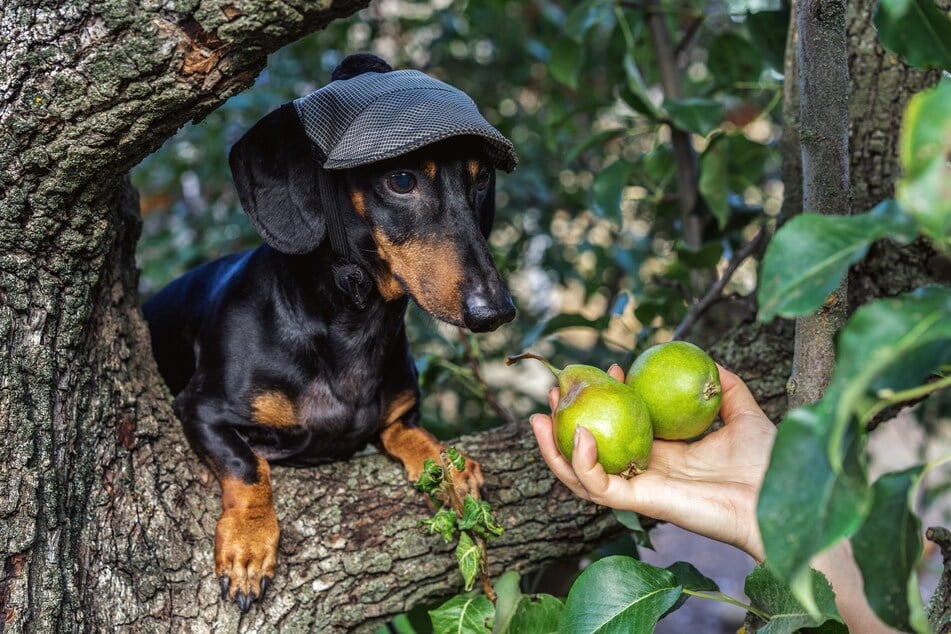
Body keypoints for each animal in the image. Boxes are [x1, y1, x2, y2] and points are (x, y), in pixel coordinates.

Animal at [144, 53, 516, 608]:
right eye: (401, 180)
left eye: (483, 177)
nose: (495, 310)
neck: (351, 327)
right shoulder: (199, 409)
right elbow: (247, 465)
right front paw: (249, 545)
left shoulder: (397, 414)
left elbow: (411, 432)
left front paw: (450, 466)